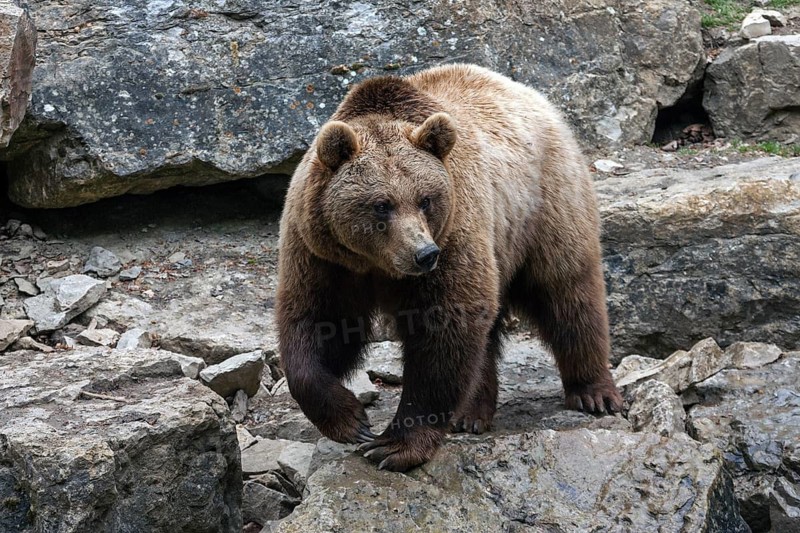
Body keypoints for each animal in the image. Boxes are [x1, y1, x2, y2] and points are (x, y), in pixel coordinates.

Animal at [276, 63, 623, 472]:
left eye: (425, 199)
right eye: (381, 205)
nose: (424, 254)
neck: (374, 264)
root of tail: (529, 93)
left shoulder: (454, 233)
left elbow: (446, 327)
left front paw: (394, 445)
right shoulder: (322, 254)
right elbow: (317, 322)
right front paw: (350, 419)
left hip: (544, 206)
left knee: (567, 291)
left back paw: (593, 392)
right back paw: (471, 413)